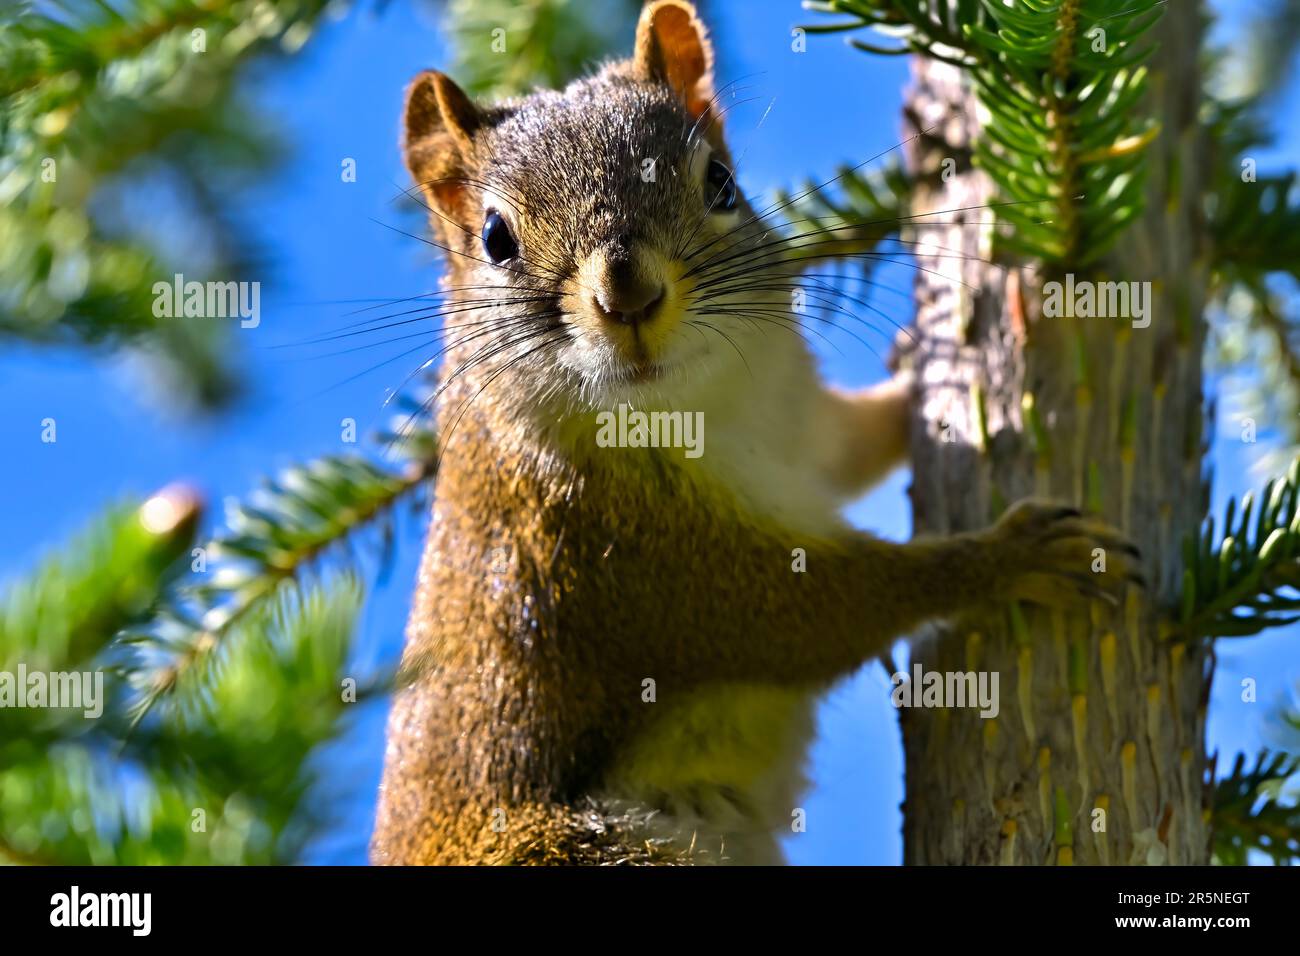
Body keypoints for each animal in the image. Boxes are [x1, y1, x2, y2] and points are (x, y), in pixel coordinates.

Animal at [371, 1, 1144, 868]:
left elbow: (851, 446)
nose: (627, 295)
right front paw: (1015, 556)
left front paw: (920, 370)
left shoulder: (795, 420)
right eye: (495, 238)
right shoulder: (638, 565)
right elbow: (828, 612)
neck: (704, 410)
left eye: (721, 182)